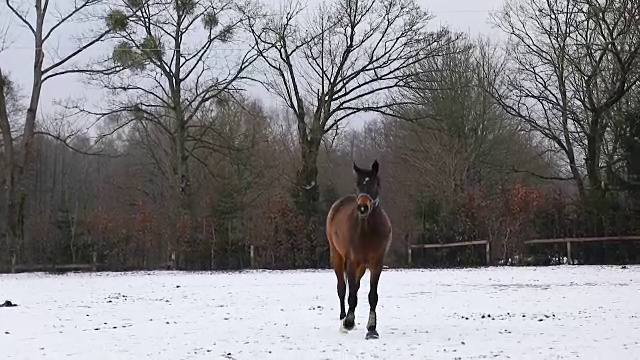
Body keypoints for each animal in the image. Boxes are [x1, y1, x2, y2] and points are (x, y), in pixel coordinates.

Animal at [328, 160, 392, 340]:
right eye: (357, 184)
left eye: (375, 184)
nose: (362, 207)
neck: (367, 231)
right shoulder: (351, 261)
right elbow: (350, 294)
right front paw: (348, 322)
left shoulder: (376, 264)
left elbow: (372, 296)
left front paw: (372, 329)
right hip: (338, 257)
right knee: (342, 288)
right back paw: (343, 321)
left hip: (362, 267)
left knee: (354, 286)